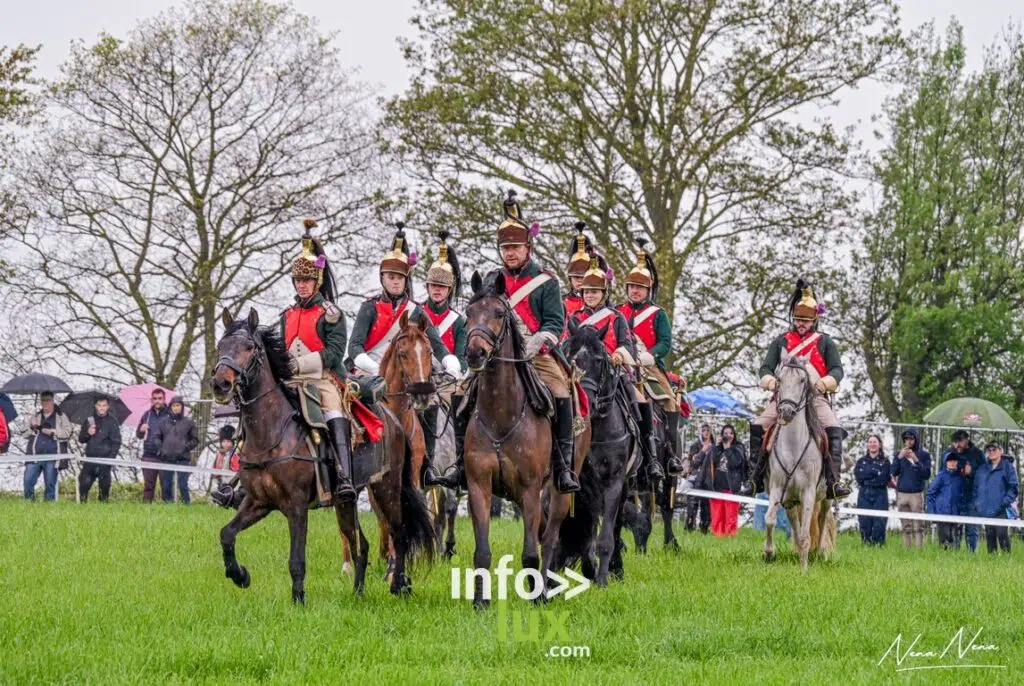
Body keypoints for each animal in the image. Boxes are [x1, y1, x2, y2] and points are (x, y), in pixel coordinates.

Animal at [210, 308, 433, 602]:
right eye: (221, 346)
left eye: (250, 347)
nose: (220, 383)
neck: (271, 432)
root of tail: (394, 420)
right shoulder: (257, 502)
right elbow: (226, 534)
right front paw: (240, 575)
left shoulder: (296, 506)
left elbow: (296, 560)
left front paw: (298, 600)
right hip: (345, 502)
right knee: (361, 544)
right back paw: (358, 593)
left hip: (386, 488)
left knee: (399, 533)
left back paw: (399, 585)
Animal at [462, 271, 589, 607]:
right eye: (468, 312)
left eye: (499, 313)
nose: (475, 353)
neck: (501, 416)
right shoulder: (479, 487)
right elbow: (482, 550)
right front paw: (480, 601)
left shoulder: (531, 490)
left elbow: (532, 551)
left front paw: (536, 597)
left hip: (559, 491)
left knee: (550, 538)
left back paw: (545, 589)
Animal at [559, 320, 633, 586]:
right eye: (571, 358)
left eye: (600, 360)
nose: (586, 403)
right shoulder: (580, 484)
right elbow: (584, 528)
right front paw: (587, 566)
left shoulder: (613, 481)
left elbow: (606, 536)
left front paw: (601, 579)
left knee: (617, 524)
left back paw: (616, 568)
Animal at [763, 351, 836, 570]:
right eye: (779, 379)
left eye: (803, 380)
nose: (786, 412)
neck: (794, 446)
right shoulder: (777, 488)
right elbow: (770, 519)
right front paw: (769, 553)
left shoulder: (809, 491)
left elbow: (805, 535)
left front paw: (804, 569)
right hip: (790, 498)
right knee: (794, 520)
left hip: (826, 496)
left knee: (822, 518)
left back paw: (819, 553)